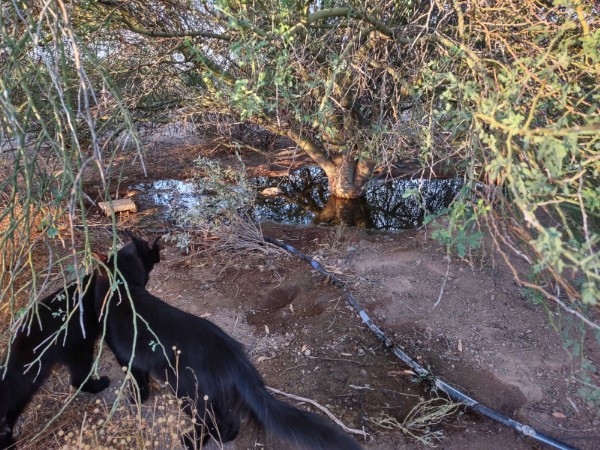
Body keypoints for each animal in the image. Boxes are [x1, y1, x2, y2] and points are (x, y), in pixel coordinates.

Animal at [96, 237, 364, 448]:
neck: (126, 288)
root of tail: (234, 357)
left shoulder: (124, 355)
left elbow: (137, 380)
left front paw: (137, 398)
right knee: (229, 419)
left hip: (188, 391)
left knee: (207, 422)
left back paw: (191, 440)